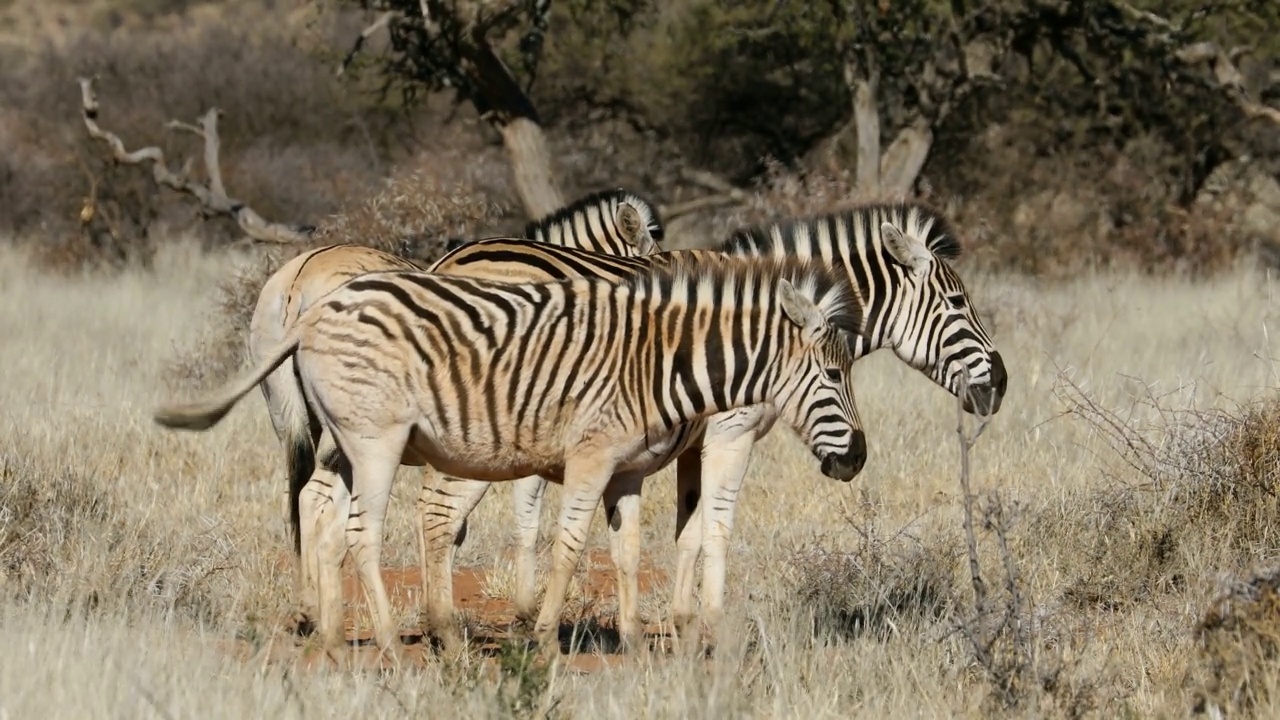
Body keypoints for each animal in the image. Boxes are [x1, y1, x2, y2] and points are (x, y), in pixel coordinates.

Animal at [154, 252, 865, 661]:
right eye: (834, 376)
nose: (856, 460)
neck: (658, 363)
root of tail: (314, 310)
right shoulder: (593, 458)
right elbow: (572, 546)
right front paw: (547, 636)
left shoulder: (629, 471)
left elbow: (630, 551)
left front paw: (637, 642)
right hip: (378, 442)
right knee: (364, 533)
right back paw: (389, 645)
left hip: (347, 441)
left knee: (326, 517)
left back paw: (332, 639)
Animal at [249, 188, 670, 630]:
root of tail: (299, 278)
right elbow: (515, 516)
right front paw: (517, 608)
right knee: (318, 498)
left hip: (289, 414)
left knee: (300, 496)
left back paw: (309, 607)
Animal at [419, 198, 1008, 648]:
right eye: (957, 303)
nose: (1001, 383)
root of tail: (445, 262)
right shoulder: (732, 431)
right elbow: (717, 528)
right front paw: (712, 627)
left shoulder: (689, 441)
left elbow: (687, 530)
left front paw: (680, 624)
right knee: (441, 509)